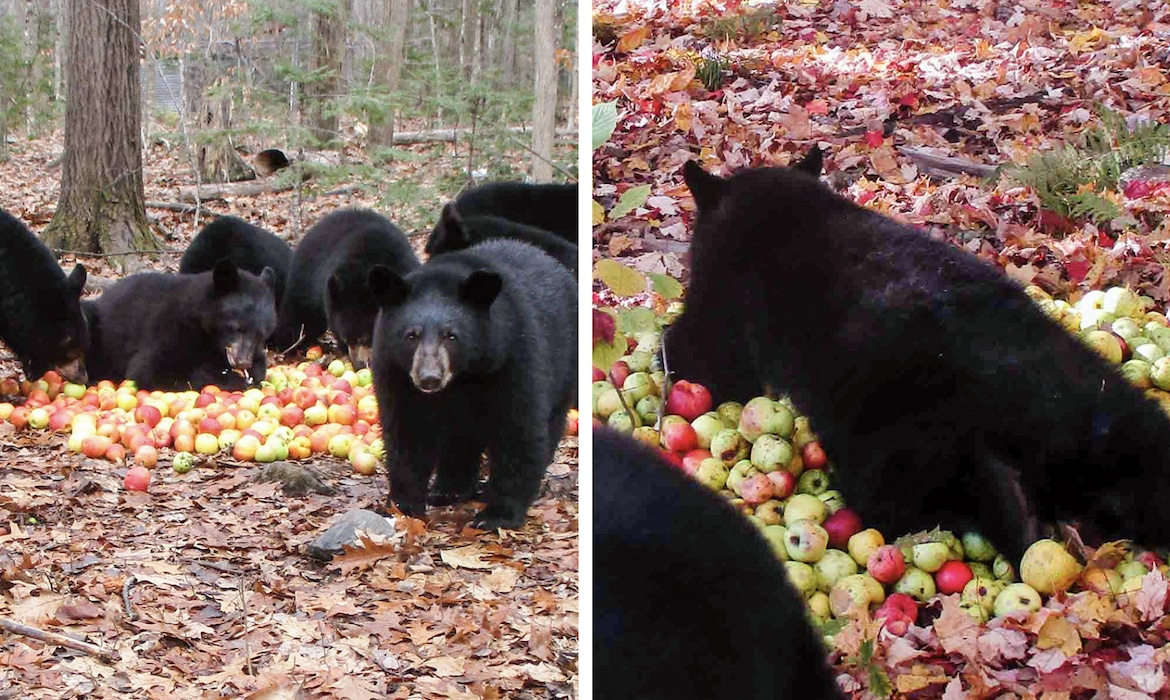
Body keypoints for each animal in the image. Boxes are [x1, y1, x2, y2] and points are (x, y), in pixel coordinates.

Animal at [84, 259, 276, 391]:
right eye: (236, 328)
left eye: (261, 334)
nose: (243, 362)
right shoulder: (171, 327)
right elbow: (149, 369)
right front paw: (231, 379)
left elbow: (261, 364)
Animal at [367, 238, 576, 530]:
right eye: (411, 335)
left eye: (451, 335)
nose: (429, 378)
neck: (463, 376)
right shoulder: (395, 372)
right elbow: (407, 430)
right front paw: (405, 506)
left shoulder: (513, 357)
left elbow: (518, 429)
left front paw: (497, 514)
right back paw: (449, 489)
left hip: (565, 361)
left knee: (551, 421)